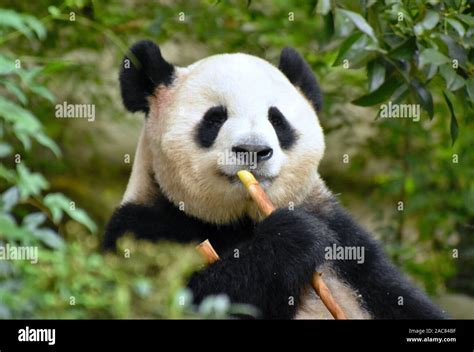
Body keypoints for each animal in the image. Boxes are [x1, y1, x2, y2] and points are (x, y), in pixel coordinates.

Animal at [103, 40, 444, 320]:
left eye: (277, 120)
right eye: (215, 118)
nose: (253, 150)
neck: (240, 220)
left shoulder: (344, 239)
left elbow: (398, 298)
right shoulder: (141, 228)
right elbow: (194, 299)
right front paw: (291, 236)